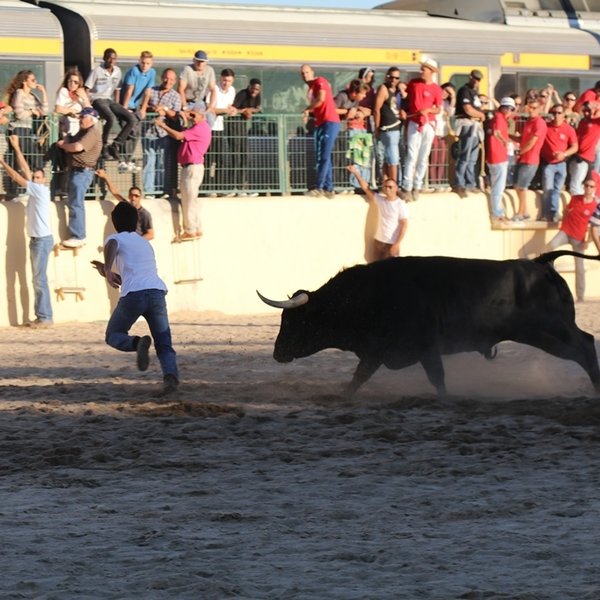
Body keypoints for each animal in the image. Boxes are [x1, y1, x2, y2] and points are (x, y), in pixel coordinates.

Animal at [258, 251, 600, 396]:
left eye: (296, 321)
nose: (277, 352)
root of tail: (541, 264)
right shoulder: (376, 352)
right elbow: (358, 379)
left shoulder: (424, 347)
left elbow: (438, 379)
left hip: (550, 331)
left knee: (584, 345)